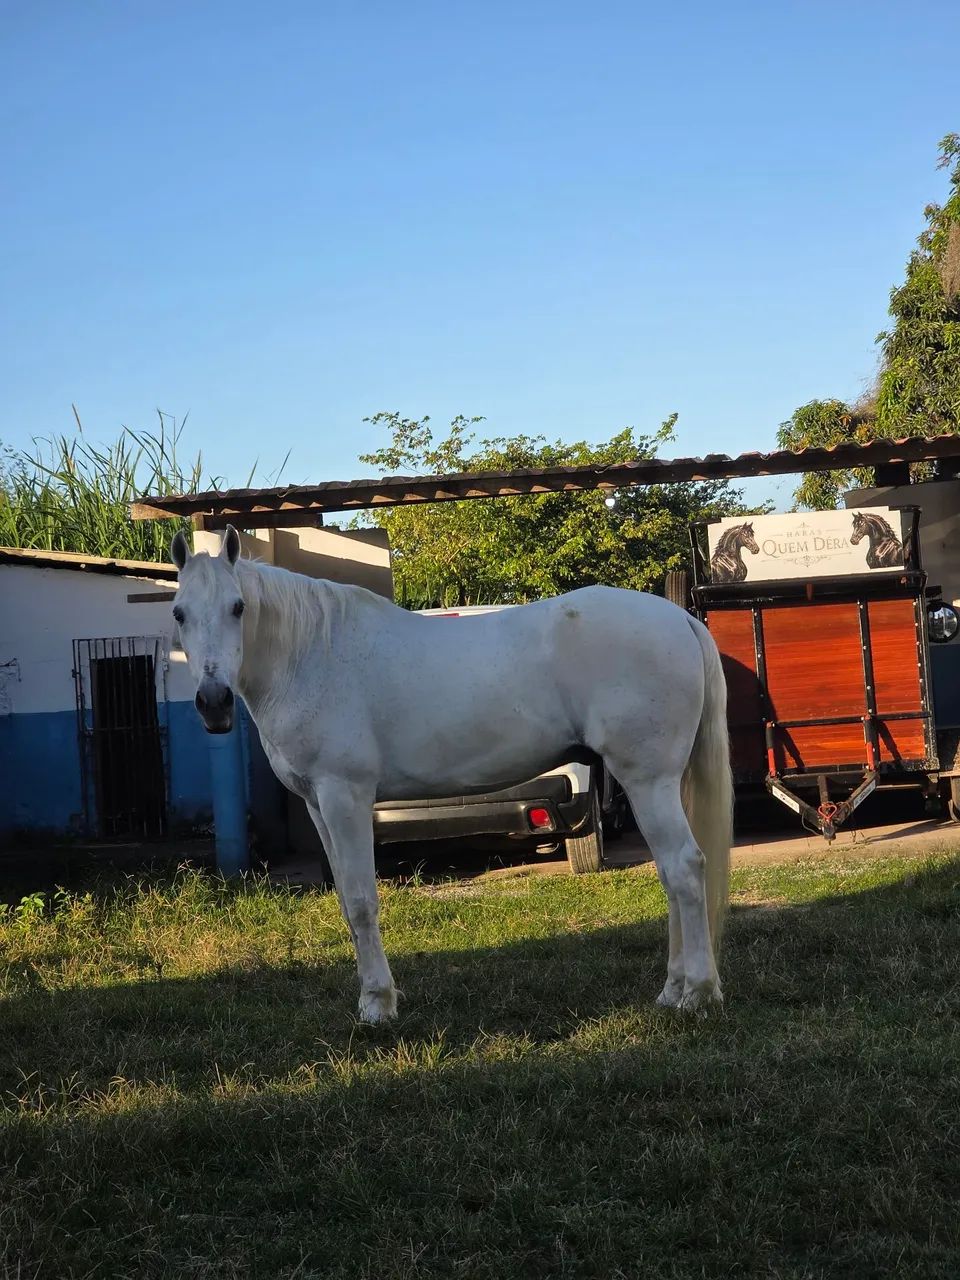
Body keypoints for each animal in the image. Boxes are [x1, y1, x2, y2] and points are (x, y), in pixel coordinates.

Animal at [170, 526, 733, 1023]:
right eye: (179, 613)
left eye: (238, 607)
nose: (213, 702)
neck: (310, 655)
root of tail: (678, 620)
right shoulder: (317, 805)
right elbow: (347, 903)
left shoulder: (344, 796)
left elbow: (362, 901)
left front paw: (377, 1005)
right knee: (670, 874)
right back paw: (673, 990)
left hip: (647, 781)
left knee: (684, 868)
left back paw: (699, 994)